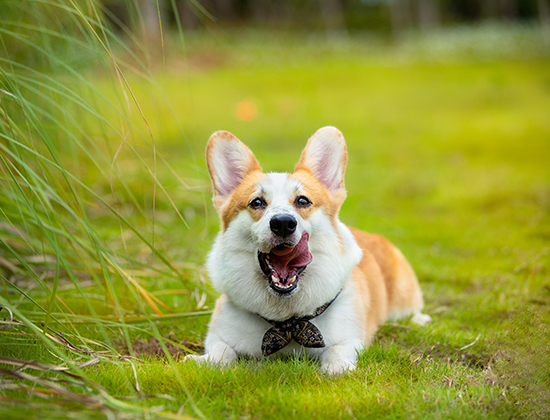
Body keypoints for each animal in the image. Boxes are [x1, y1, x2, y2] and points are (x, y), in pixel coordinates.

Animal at [188, 127, 434, 374]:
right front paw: (203, 361)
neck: (287, 321)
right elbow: (221, 352)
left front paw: (335, 368)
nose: (283, 223)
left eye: (303, 201)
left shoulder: (351, 339)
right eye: (256, 202)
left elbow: (337, 352)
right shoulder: (219, 334)